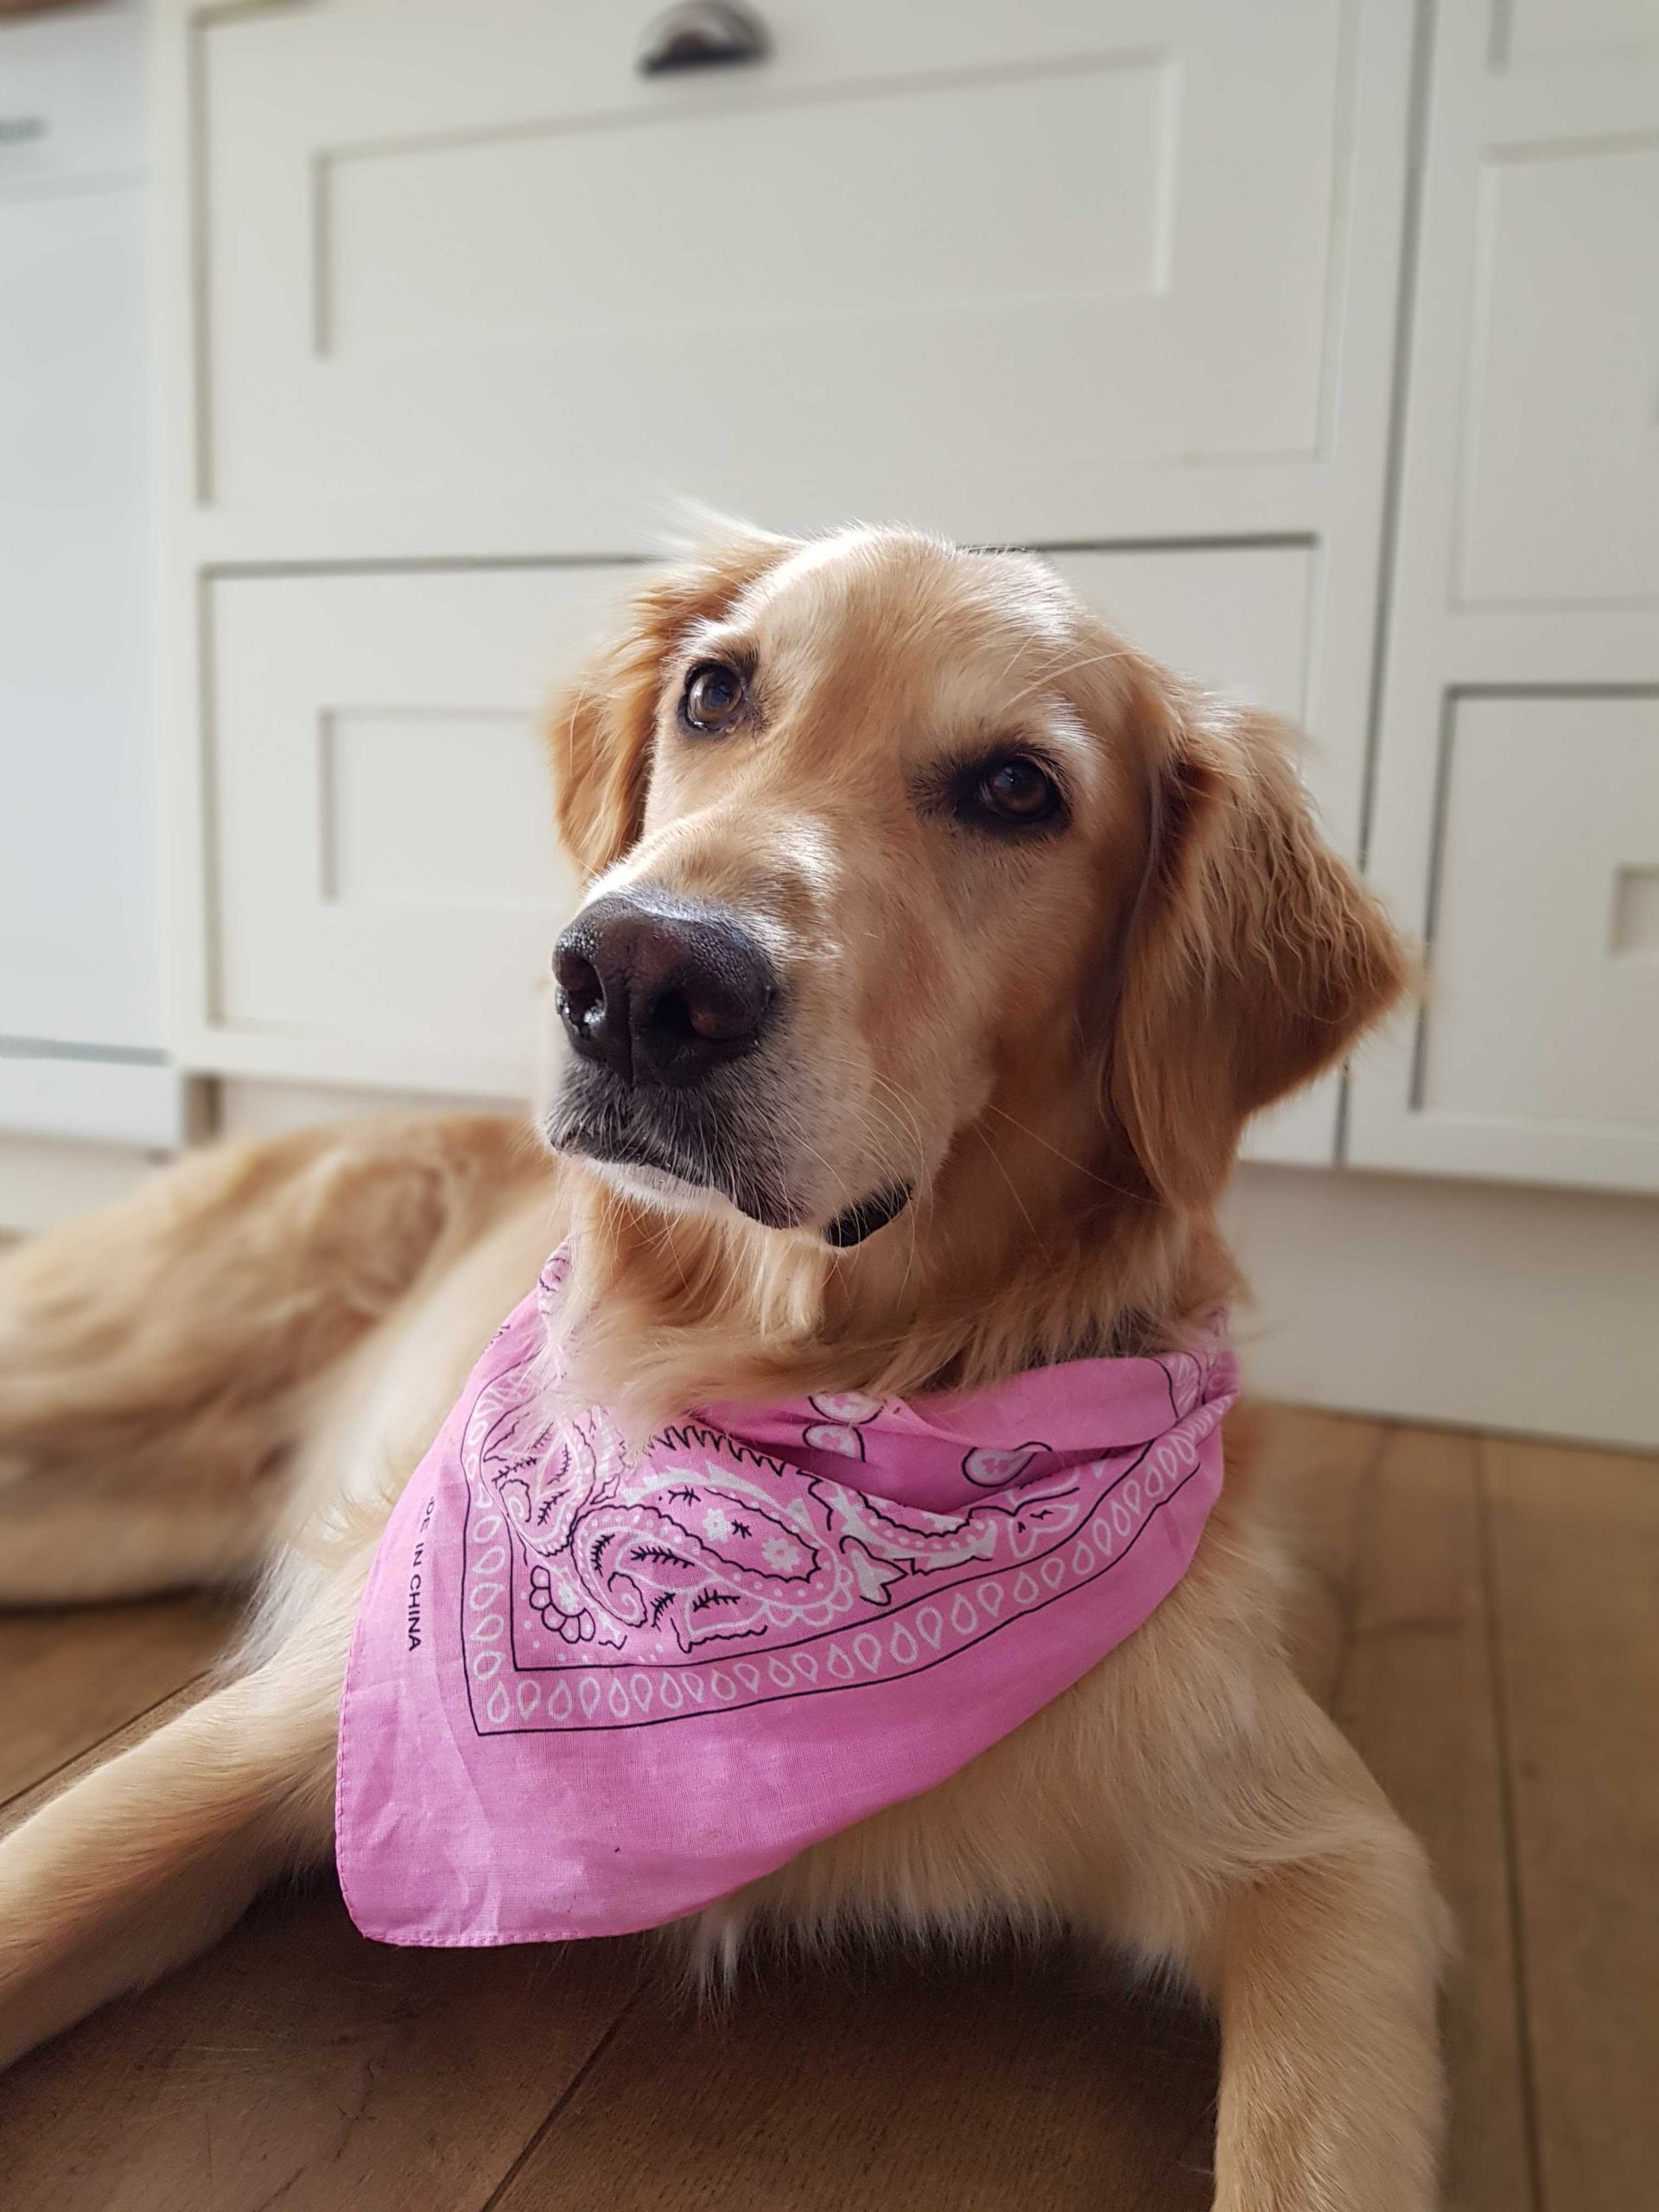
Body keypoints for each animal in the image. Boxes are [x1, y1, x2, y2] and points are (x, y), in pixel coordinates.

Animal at [0, 524, 1448, 2207]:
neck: (778, 1370)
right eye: (715, 691)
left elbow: (1313, 2152)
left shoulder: (1331, 1870)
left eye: (1019, 789)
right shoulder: (277, 1729)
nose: (635, 978)